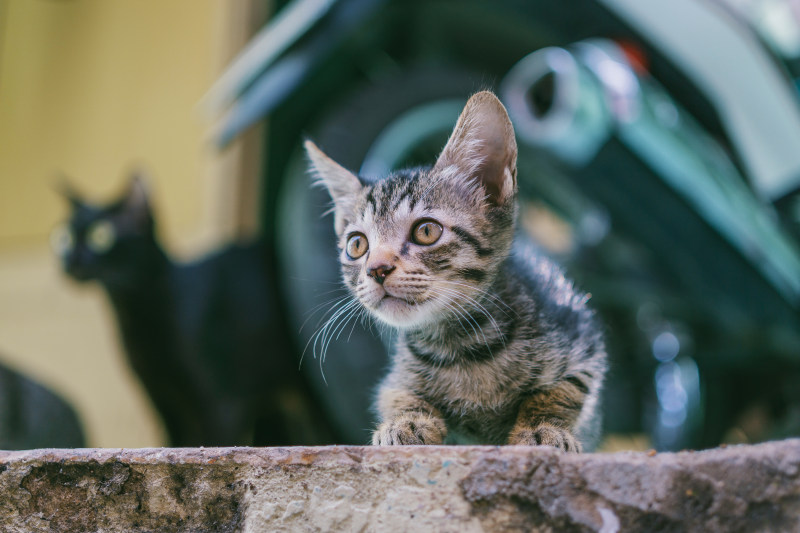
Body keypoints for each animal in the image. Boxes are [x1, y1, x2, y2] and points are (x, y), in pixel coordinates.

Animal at [53, 175, 330, 444]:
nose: (71, 260)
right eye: (63, 238)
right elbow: (172, 443)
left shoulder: (222, 405)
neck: (134, 316)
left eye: (101, 236)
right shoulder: (162, 401)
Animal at [308, 90, 608, 448]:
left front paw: (542, 428)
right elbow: (397, 394)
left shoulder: (585, 347)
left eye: (426, 231)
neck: (461, 348)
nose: (377, 269)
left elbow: (560, 391)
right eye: (357, 245)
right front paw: (405, 422)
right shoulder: (395, 378)